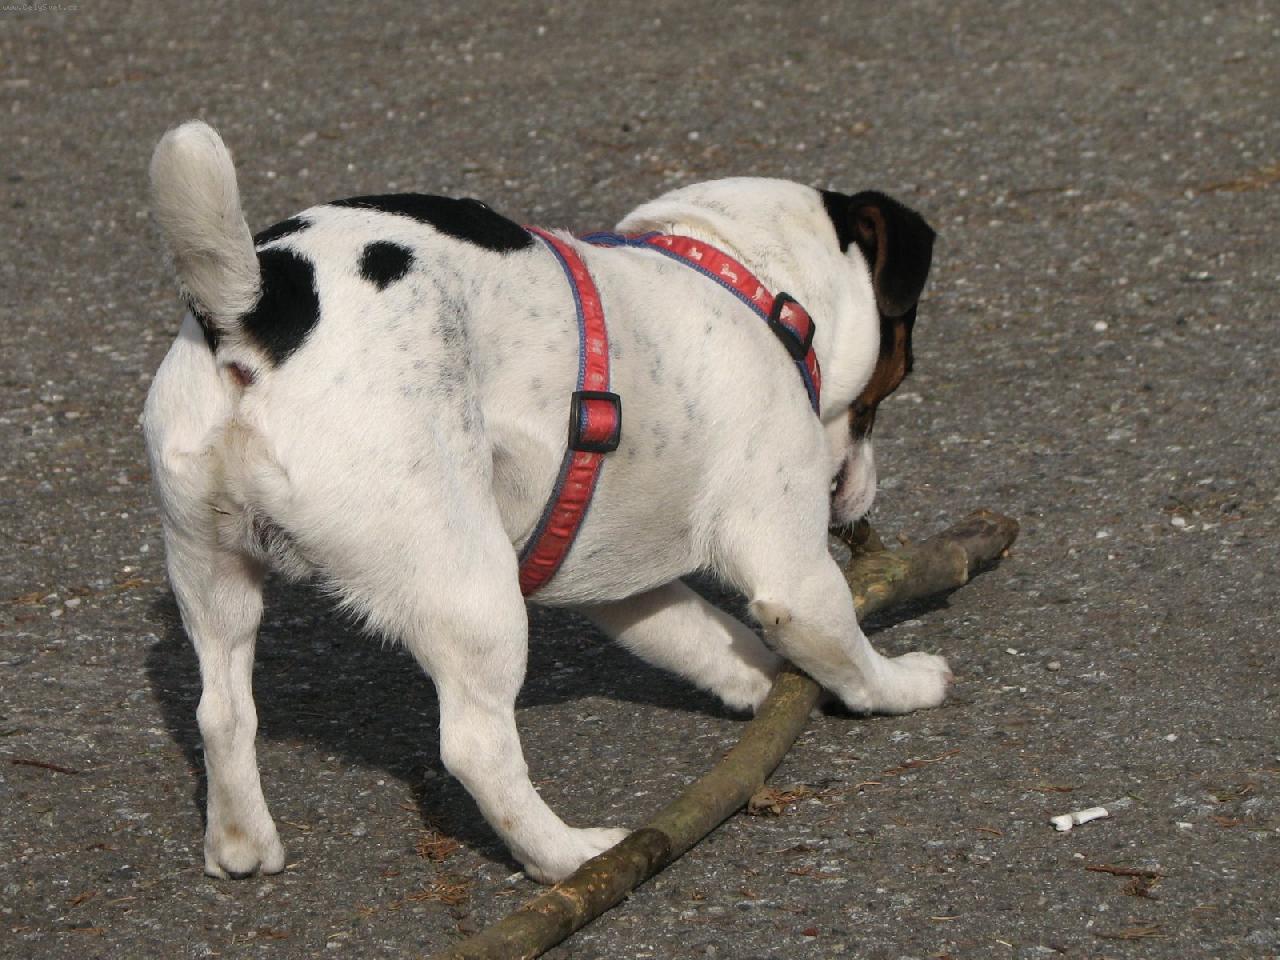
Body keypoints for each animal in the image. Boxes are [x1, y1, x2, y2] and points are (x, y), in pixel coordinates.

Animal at [143, 121, 942, 884]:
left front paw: (765, 681)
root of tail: (257, 306)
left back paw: (241, 844)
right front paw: (902, 684)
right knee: (474, 748)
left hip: (210, 572)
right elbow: (847, 651)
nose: (861, 501)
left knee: (221, 712)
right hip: (473, 594)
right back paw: (568, 856)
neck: (745, 277)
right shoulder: (791, 575)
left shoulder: (623, 586)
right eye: (897, 375)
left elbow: (706, 639)